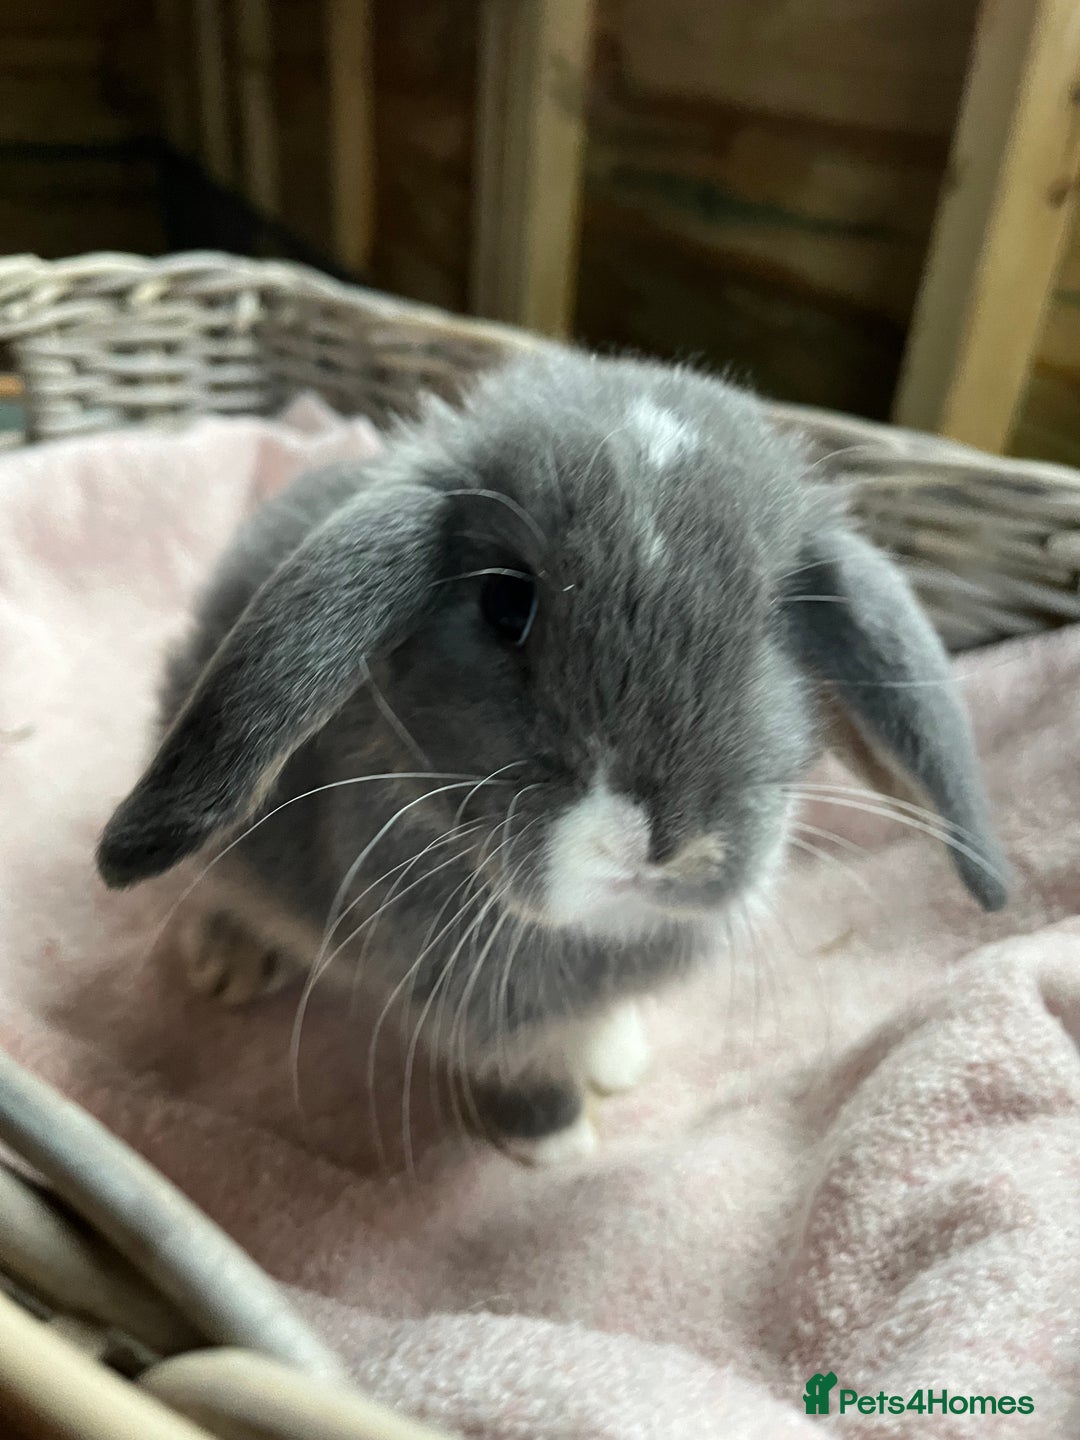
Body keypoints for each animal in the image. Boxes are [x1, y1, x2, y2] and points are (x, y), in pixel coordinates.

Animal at [96, 347, 1008, 1164]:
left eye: (775, 622)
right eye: (506, 602)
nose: (664, 842)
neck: (601, 927)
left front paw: (616, 1060)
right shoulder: (481, 1013)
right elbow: (522, 1070)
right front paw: (558, 1141)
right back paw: (229, 962)